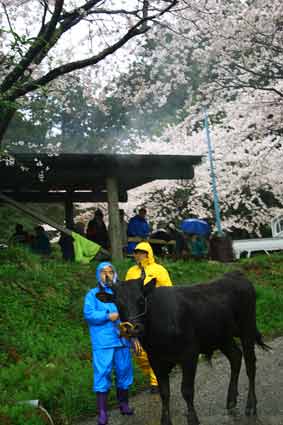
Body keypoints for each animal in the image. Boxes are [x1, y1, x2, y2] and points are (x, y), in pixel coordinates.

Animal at [97, 272, 270, 424]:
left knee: (250, 365)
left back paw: (251, 405)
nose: (133, 328)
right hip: (223, 337)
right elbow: (164, 392)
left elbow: (186, 390)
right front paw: (165, 420)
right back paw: (231, 400)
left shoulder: (189, 355)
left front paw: (192, 419)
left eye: (141, 300)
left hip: (247, 329)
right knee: (235, 357)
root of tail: (236, 275)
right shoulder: (156, 360)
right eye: (118, 304)